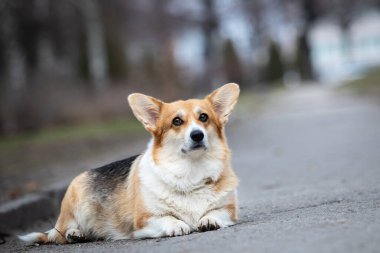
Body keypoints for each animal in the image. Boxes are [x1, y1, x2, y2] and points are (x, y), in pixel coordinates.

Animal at [19, 82, 239, 243]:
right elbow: (167, 218)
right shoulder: (145, 220)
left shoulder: (229, 211)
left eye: (204, 117)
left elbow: (216, 212)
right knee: (60, 234)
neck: (190, 171)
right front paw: (177, 224)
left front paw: (208, 219)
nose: (197, 135)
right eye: (177, 121)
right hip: (74, 202)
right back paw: (75, 234)